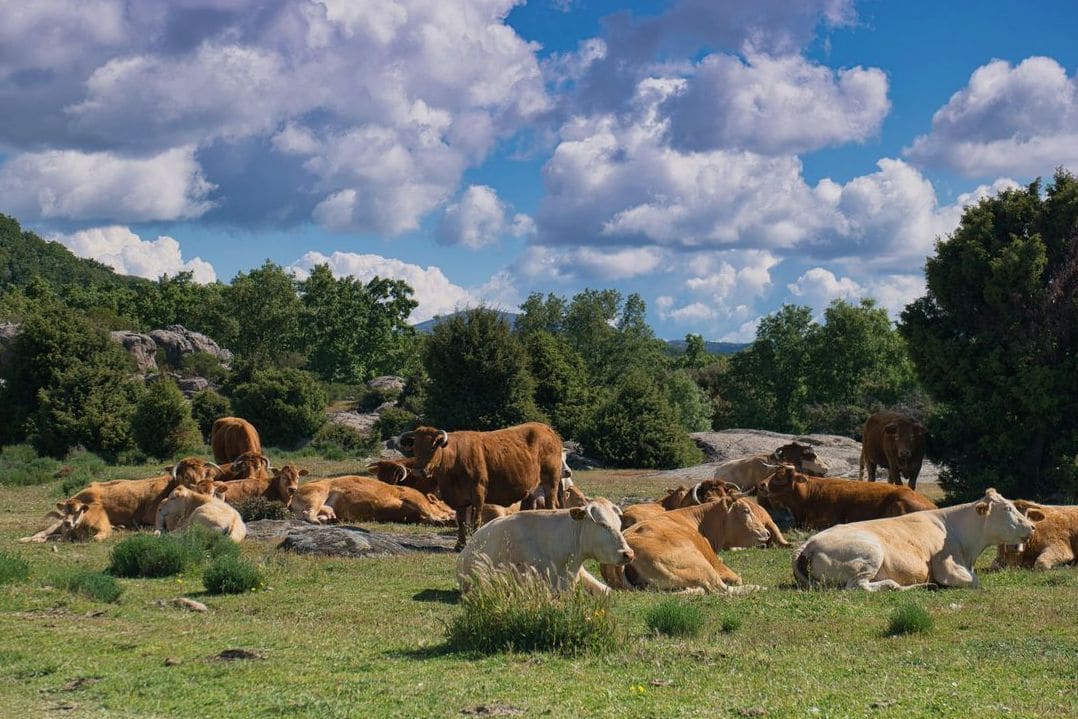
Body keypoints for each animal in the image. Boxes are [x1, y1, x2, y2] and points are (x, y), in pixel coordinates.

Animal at [290, 475, 455, 525]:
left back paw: (328, 518)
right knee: (307, 513)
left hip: (327, 506)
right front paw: (441, 519)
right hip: (319, 493)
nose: (455, 513)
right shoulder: (410, 496)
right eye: (447, 505)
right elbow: (427, 511)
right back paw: (317, 521)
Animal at [400, 423, 566, 550]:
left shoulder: (478, 494)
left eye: (433, 446)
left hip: (551, 480)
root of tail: (546, 429)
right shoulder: (458, 499)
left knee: (551, 505)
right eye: (415, 447)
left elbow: (476, 520)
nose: (418, 469)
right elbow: (461, 522)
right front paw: (460, 545)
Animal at [600, 498, 769, 594]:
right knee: (721, 590)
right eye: (746, 510)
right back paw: (756, 588)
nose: (767, 533)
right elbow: (736, 579)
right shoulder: (714, 562)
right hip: (700, 565)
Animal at [793, 488, 1035, 591]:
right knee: (859, 586)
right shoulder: (945, 566)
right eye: (1007, 508)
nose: (1032, 526)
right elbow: (974, 582)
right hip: (870, 554)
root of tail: (808, 543)